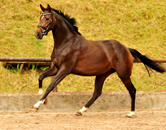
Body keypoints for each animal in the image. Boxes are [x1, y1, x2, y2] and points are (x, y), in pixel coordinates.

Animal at [32, 4, 165, 118]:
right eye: (40, 17)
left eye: (47, 18)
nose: (37, 34)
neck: (67, 43)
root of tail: (126, 48)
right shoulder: (55, 67)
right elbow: (41, 77)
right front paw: (42, 98)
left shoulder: (65, 70)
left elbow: (51, 85)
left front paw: (37, 105)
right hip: (102, 74)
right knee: (97, 92)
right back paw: (81, 111)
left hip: (123, 74)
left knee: (132, 90)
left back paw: (131, 113)